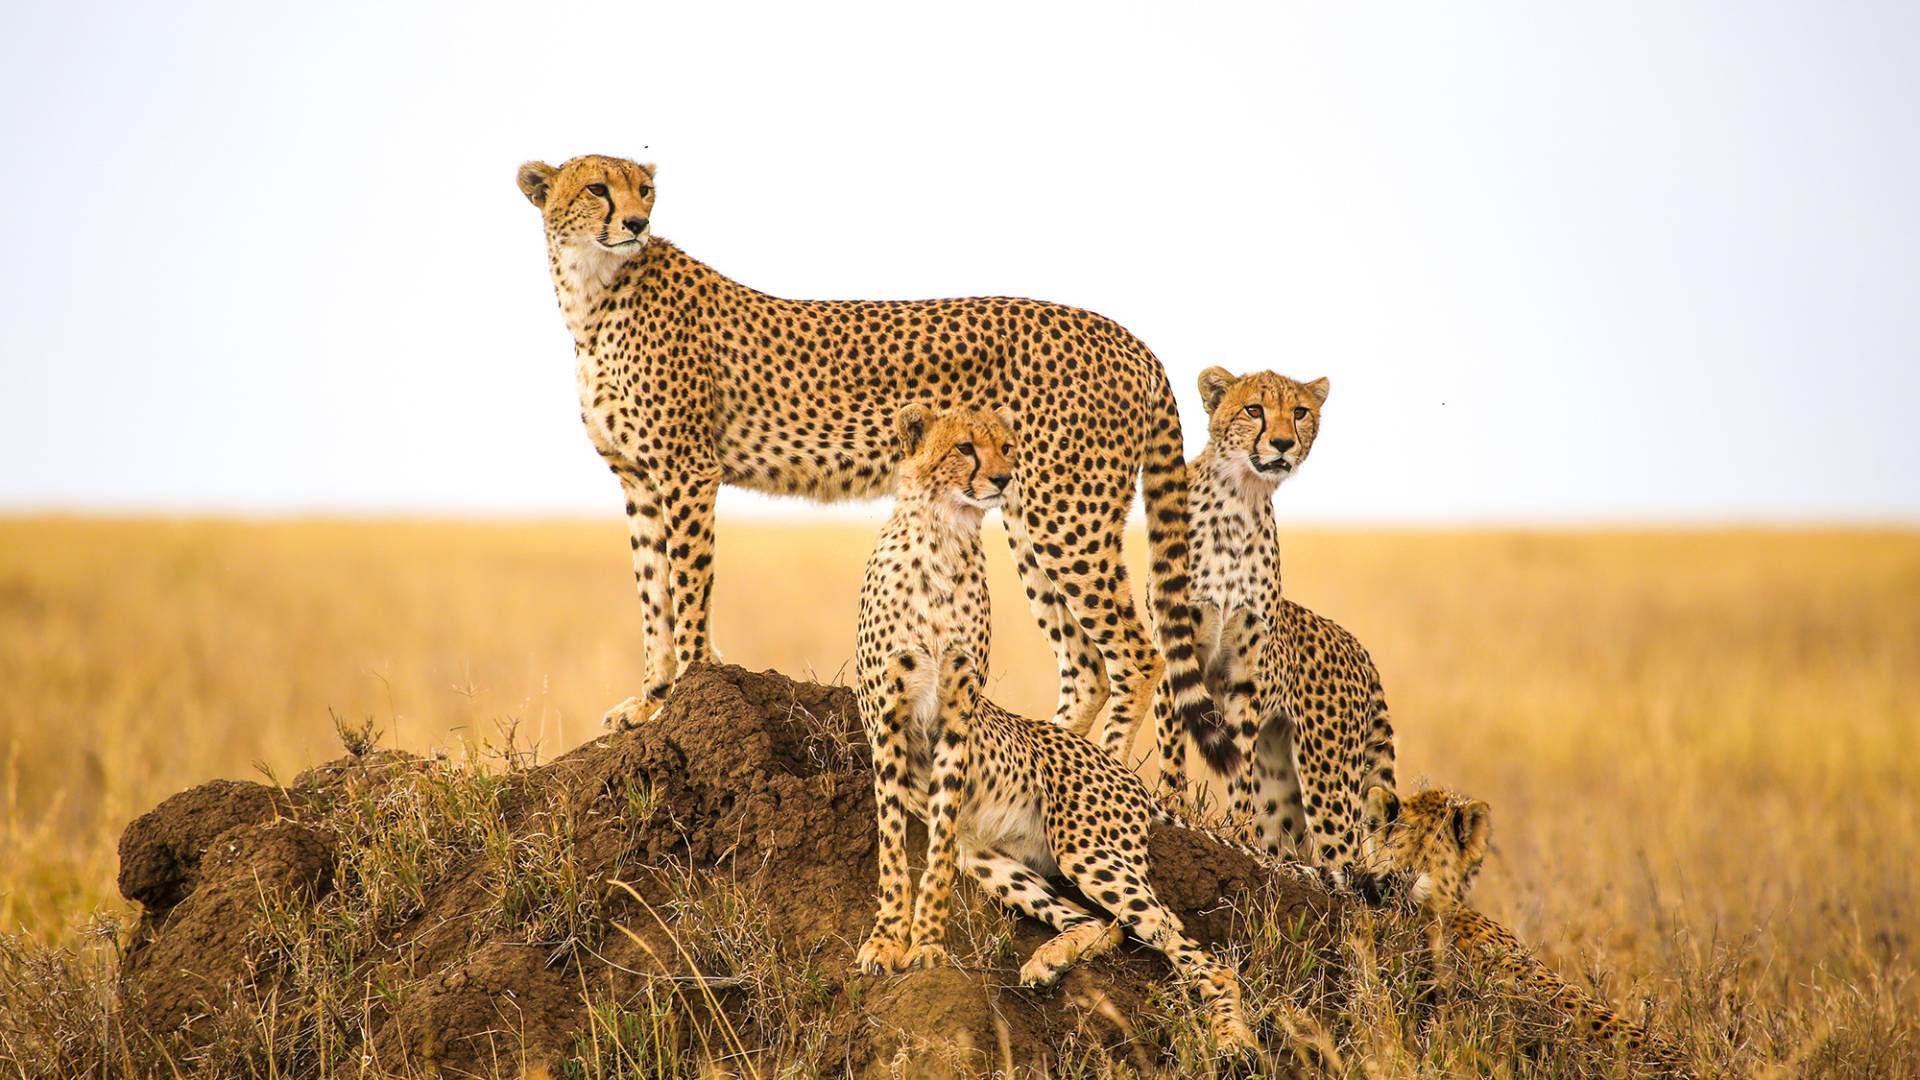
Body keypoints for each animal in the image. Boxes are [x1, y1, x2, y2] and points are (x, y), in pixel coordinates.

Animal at [516, 155, 1211, 755]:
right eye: (598, 188)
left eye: (645, 190)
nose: (636, 223)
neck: (593, 292)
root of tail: (1129, 337)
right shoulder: (638, 479)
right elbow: (652, 596)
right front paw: (650, 701)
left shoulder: (687, 471)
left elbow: (686, 591)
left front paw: (681, 695)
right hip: (1025, 511)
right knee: (1086, 664)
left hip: (1066, 514)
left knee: (1137, 655)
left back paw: (1105, 770)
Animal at [1150, 367, 1397, 872]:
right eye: (1253, 409)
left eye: (1299, 412)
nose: (1282, 442)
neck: (1240, 500)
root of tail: (1358, 647)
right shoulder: (1174, 648)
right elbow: (1172, 751)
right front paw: (1172, 809)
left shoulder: (1244, 671)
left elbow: (1239, 762)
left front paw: (1238, 832)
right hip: (1290, 777)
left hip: (1327, 774)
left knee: (1343, 857)